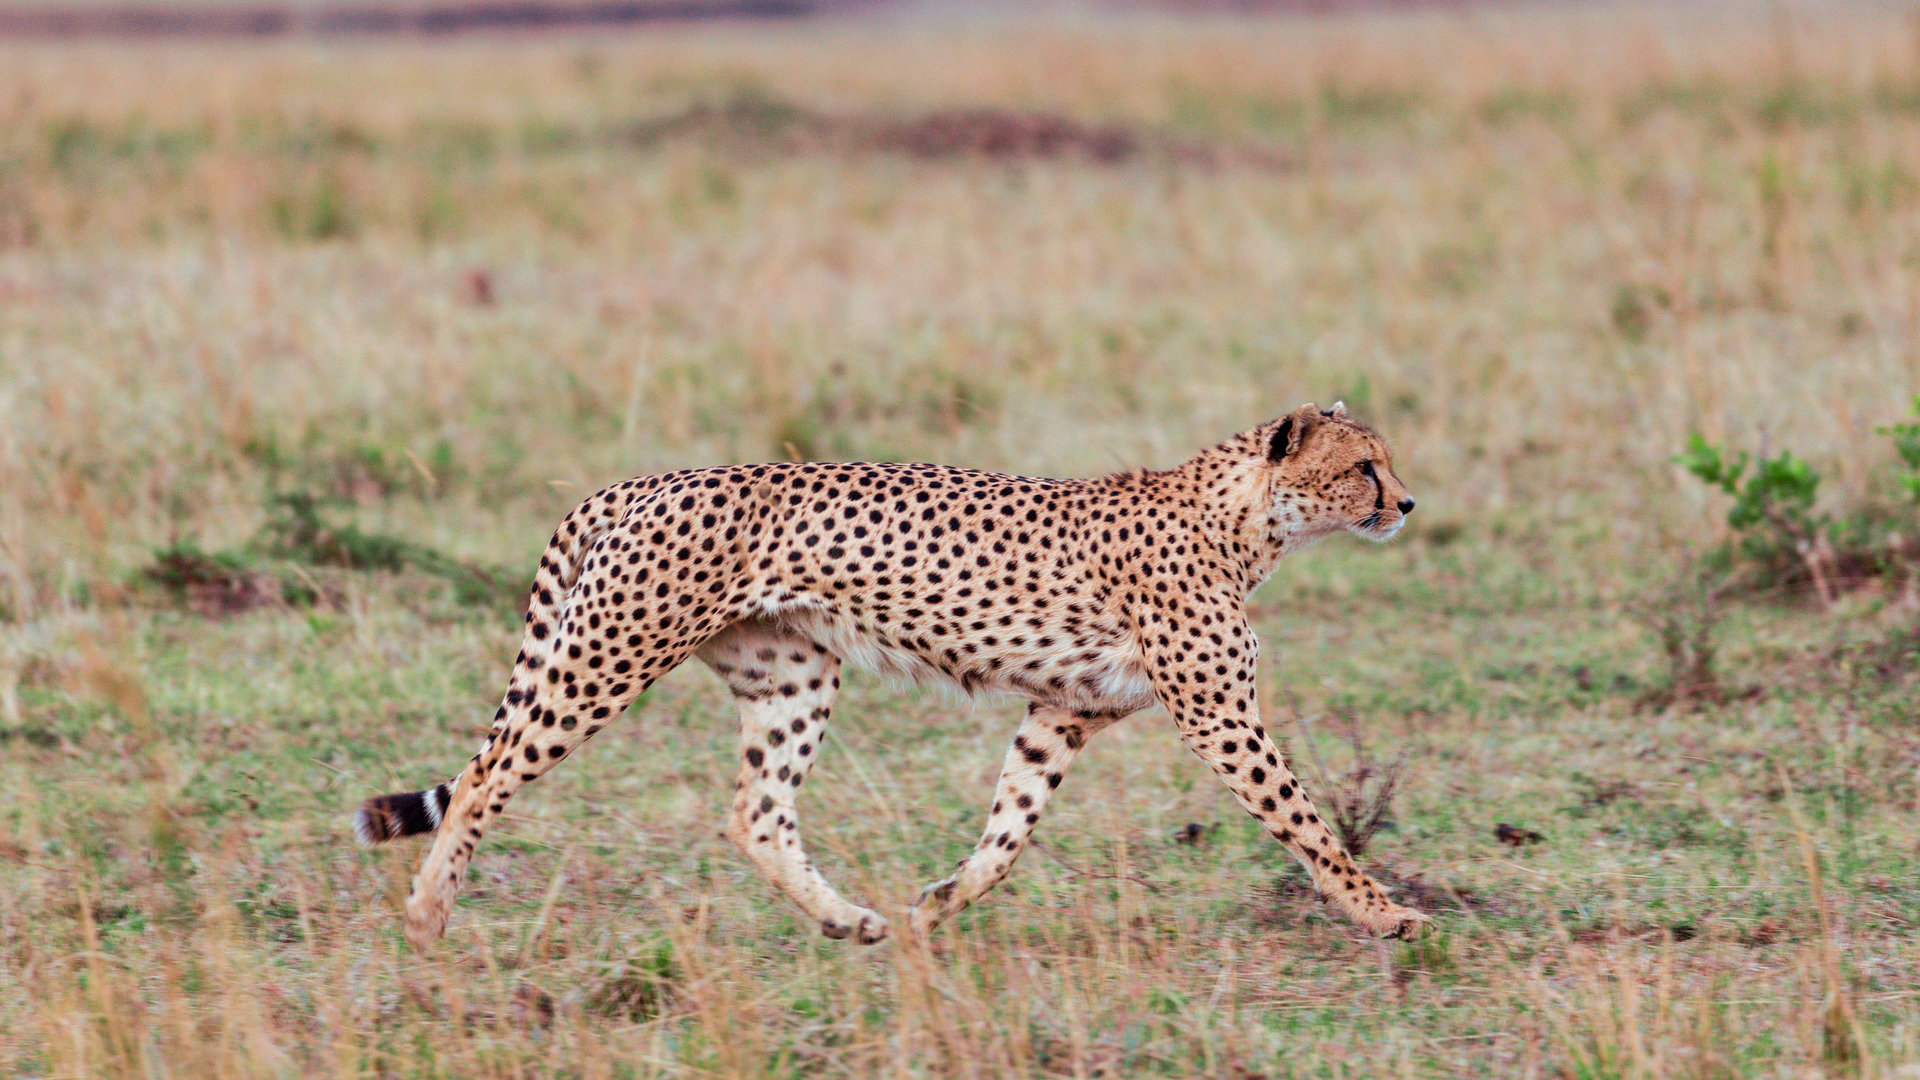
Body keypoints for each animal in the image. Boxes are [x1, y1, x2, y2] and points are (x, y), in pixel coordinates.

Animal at [354, 401, 1430, 949]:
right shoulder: (1218, 715)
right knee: (486, 773)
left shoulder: (1063, 711)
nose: (1408, 502)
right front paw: (1385, 911)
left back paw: (848, 919)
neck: (1244, 518)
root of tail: (637, 481)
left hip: (791, 676)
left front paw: (939, 903)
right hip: (606, 657)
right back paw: (428, 914)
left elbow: (1010, 830)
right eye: (1364, 466)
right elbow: (1305, 821)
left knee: (755, 814)